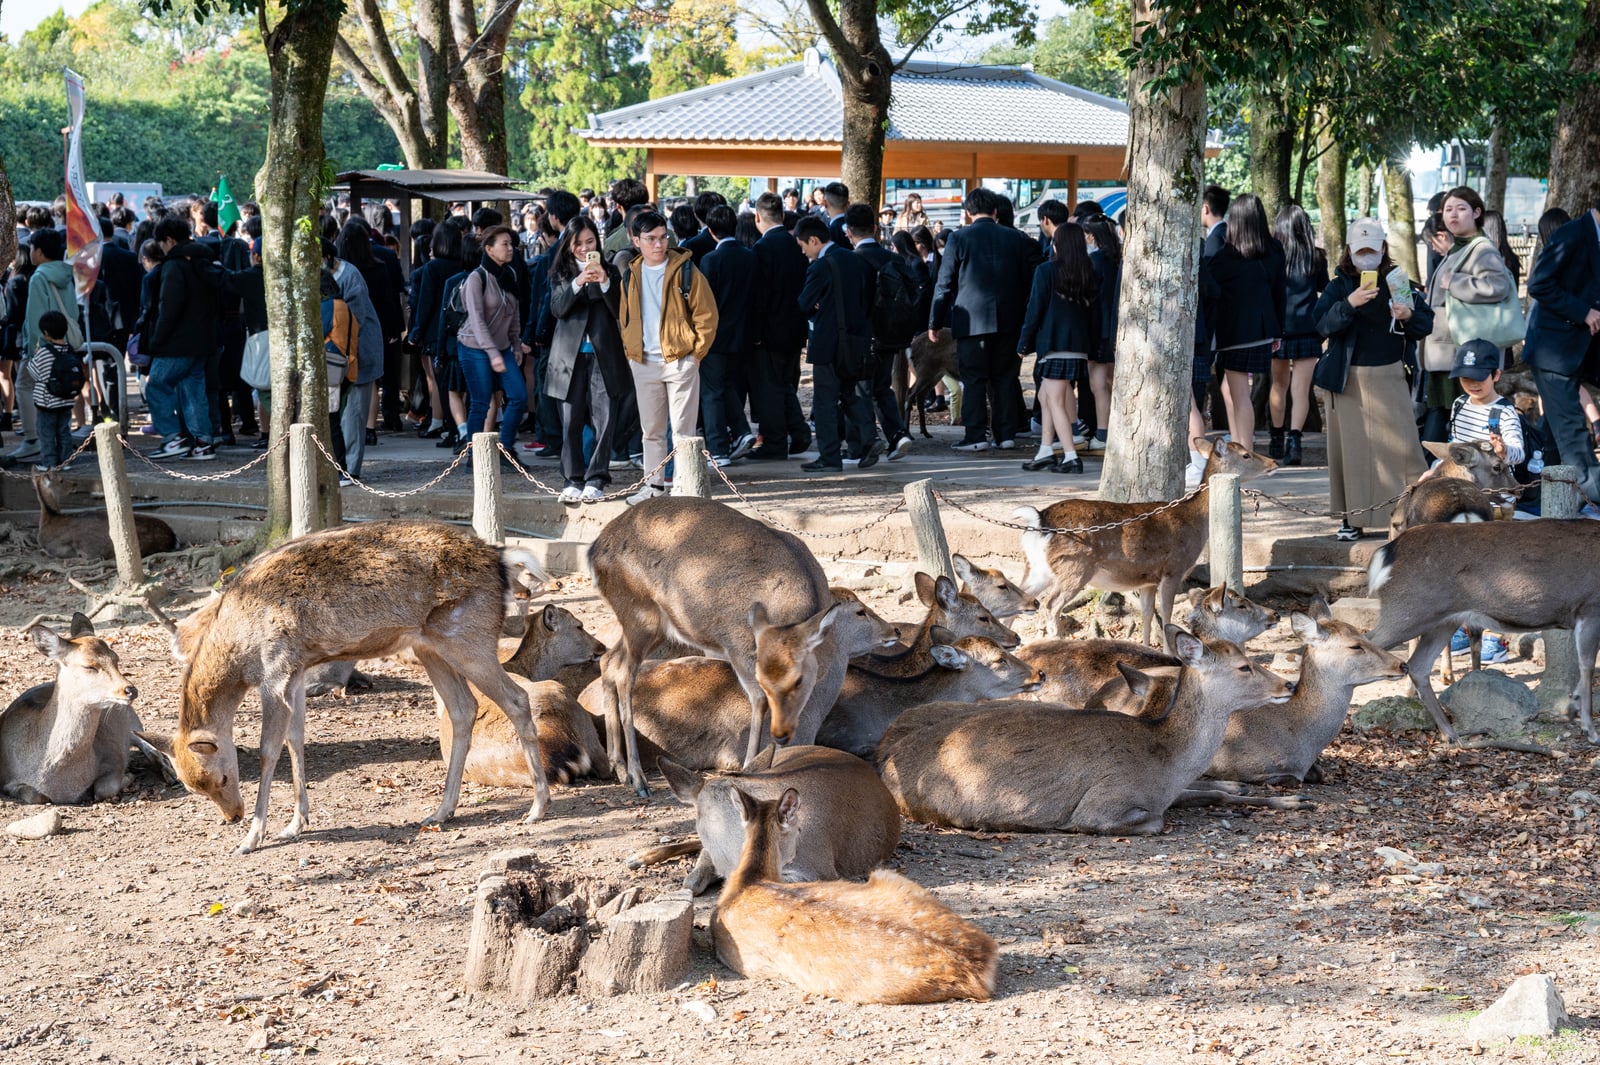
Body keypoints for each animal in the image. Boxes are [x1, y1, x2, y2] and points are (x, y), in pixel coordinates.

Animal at [2, 614, 139, 805]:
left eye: (116, 658)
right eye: (89, 666)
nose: (131, 690)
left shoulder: (113, 756)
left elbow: (104, 790)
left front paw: (128, 776)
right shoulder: (8, 779)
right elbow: (36, 796)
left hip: (133, 722)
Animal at [168, 520, 552, 854]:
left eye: (221, 778)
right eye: (194, 787)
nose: (234, 816)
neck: (240, 648)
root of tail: (501, 559)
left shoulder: (275, 669)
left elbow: (268, 750)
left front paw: (252, 838)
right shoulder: (296, 671)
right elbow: (296, 741)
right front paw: (295, 824)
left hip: (470, 637)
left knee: (517, 699)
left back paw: (537, 808)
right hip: (430, 646)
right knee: (463, 708)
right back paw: (442, 811)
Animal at [875, 626, 1296, 834]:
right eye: (1244, 666)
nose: (1289, 685)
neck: (1165, 765)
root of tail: (887, 763)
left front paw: (1290, 801)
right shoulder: (1103, 804)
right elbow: (1156, 822)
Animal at [1015, 438, 1277, 644]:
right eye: (1245, 454)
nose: (1274, 463)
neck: (1194, 522)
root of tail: (1040, 518)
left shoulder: (1147, 580)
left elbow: (1148, 615)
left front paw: (1145, 646)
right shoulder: (1173, 569)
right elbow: (1167, 614)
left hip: (1037, 568)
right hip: (1075, 567)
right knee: (1050, 605)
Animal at [1367, 520, 1600, 744]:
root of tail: (1386, 552)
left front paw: (1574, 707)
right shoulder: (1590, 607)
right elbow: (1587, 666)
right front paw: (1590, 730)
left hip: (1443, 620)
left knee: (1418, 666)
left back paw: (1451, 735)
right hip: (1408, 610)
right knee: (1368, 641)